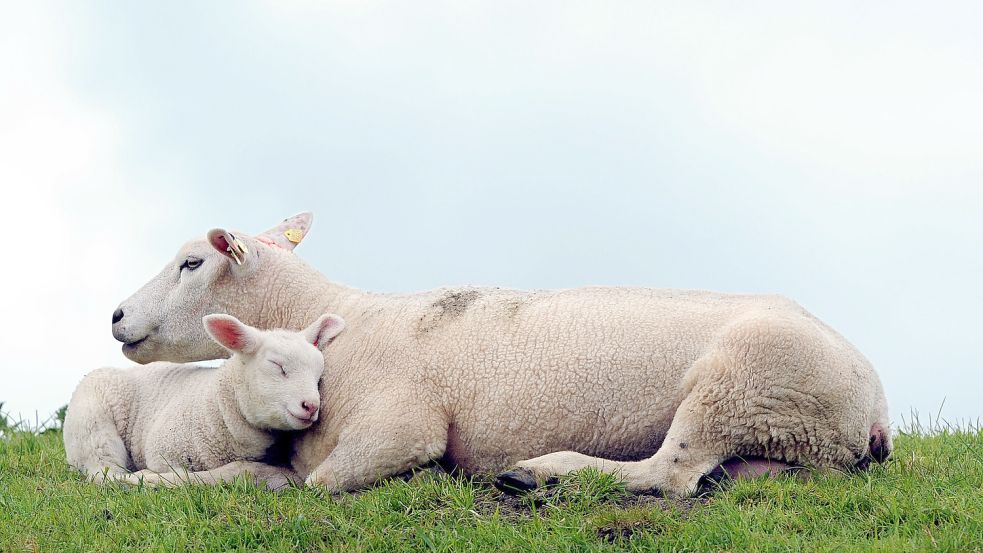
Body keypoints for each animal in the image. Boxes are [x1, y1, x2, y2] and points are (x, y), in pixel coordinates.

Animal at [63, 312, 344, 486]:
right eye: (277, 365)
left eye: (318, 374)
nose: (311, 406)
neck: (218, 405)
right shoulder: (162, 455)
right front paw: (150, 480)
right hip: (93, 430)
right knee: (103, 472)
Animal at [107, 211, 892, 496]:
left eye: (190, 263)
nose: (114, 315)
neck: (339, 324)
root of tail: (876, 405)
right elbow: (240, 476)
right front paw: (144, 482)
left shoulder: (400, 428)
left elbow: (317, 485)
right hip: (784, 428)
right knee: (719, 472)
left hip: (742, 377)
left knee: (670, 474)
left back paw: (541, 472)